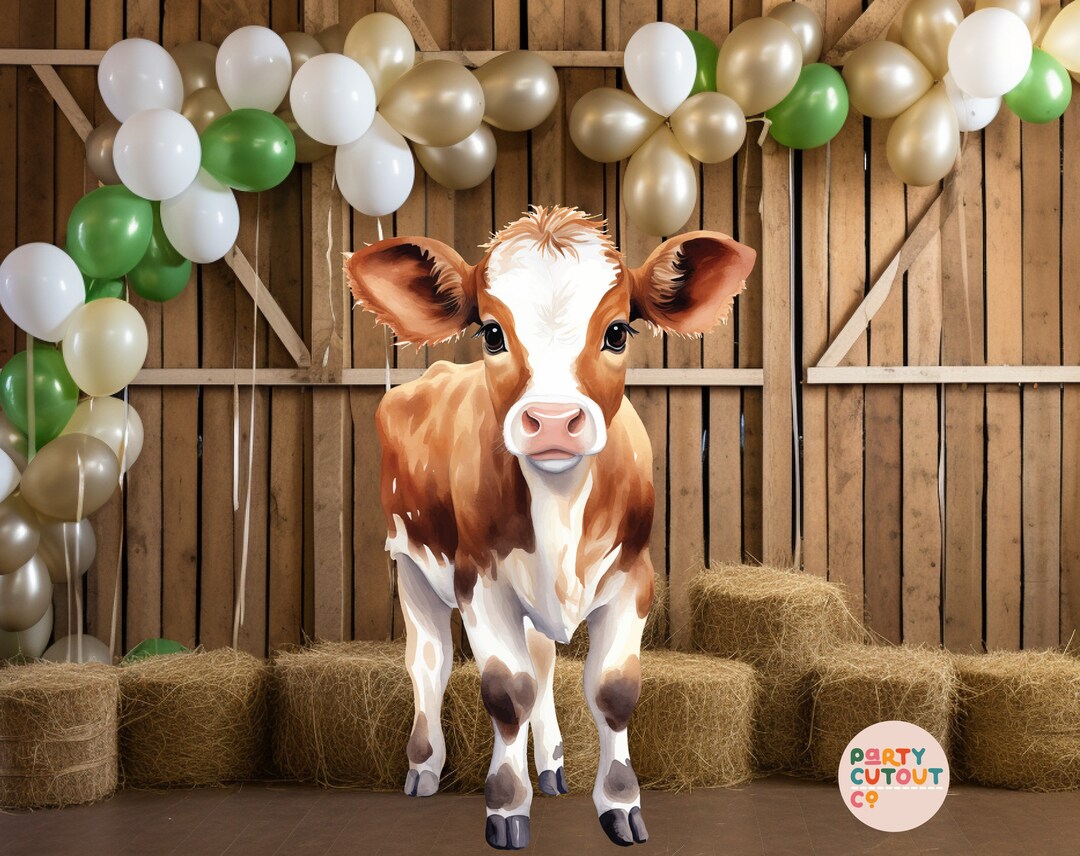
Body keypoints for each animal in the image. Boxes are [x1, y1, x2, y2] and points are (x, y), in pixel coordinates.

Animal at [345, 206, 755, 850]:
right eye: (492, 332)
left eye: (618, 332)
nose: (556, 421)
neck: (560, 510)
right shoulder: (479, 580)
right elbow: (506, 690)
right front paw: (507, 807)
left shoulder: (634, 577)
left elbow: (612, 689)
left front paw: (620, 804)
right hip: (408, 561)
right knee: (429, 662)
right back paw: (424, 767)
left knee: (540, 663)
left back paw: (552, 766)